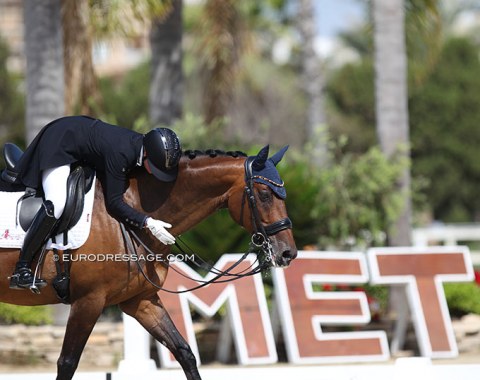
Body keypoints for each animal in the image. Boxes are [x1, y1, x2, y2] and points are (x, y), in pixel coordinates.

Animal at [0, 145, 296, 380]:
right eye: (265, 195)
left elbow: (184, 352)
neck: (128, 214)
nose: (288, 253)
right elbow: (67, 363)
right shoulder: (88, 301)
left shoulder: (141, 301)